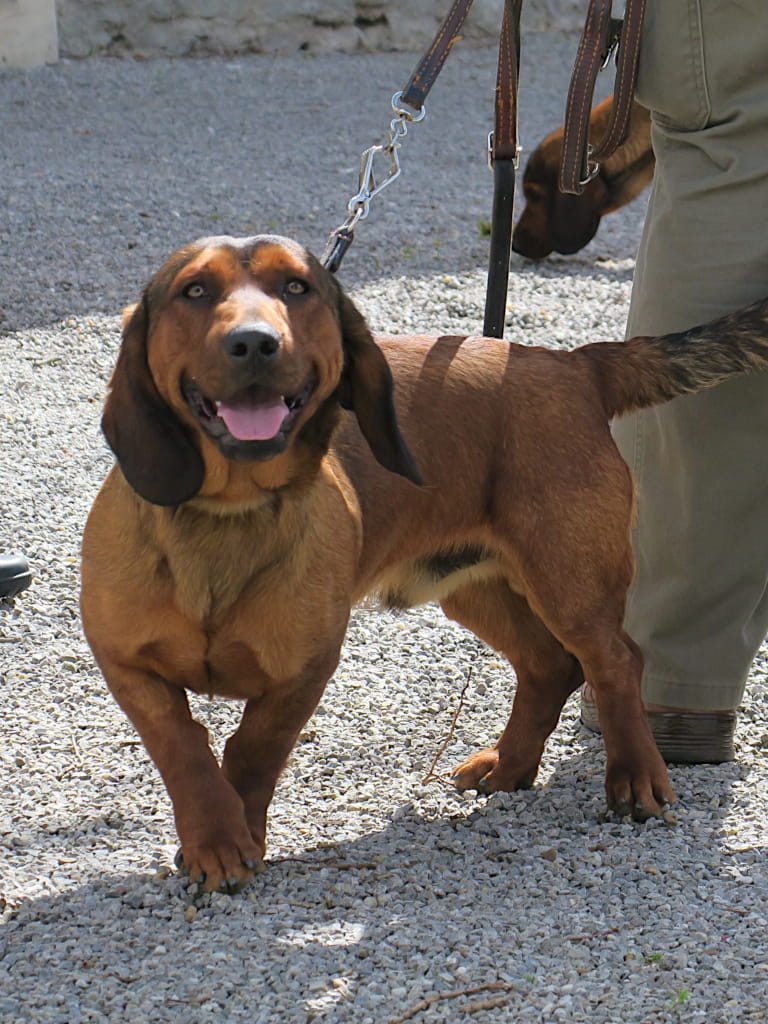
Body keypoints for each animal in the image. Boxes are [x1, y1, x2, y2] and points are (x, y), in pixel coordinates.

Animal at [79, 235, 768, 892]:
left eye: (297, 287)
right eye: (194, 291)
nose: (254, 343)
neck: (229, 514)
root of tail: (573, 364)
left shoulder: (304, 672)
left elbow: (251, 753)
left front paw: (237, 839)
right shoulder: (128, 667)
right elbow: (185, 750)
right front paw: (216, 842)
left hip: (570, 581)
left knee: (617, 662)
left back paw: (635, 779)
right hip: (475, 587)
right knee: (550, 667)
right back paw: (510, 766)